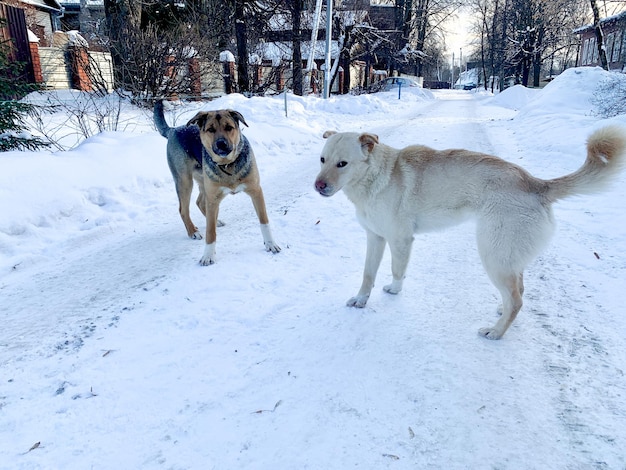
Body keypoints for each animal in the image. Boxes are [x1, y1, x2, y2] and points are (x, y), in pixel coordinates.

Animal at [152, 99, 280, 264]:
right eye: (210, 129)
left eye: (229, 127)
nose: (221, 144)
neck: (227, 164)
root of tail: (174, 130)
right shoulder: (213, 198)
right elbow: (210, 232)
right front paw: (208, 255)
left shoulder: (256, 191)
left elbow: (264, 222)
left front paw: (270, 244)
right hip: (185, 181)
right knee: (183, 209)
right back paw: (193, 231)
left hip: (203, 181)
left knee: (200, 202)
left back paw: (215, 220)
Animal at [314, 126, 620, 338]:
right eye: (322, 159)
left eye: (342, 164)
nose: (318, 186)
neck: (376, 177)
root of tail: (536, 184)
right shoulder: (375, 238)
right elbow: (368, 274)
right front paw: (361, 299)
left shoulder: (400, 240)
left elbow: (397, 271)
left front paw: (394, 290)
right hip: (507, 256)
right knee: (518, 290)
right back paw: (501, 311)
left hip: (493, 255)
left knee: (517, 299)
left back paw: (496, 331)